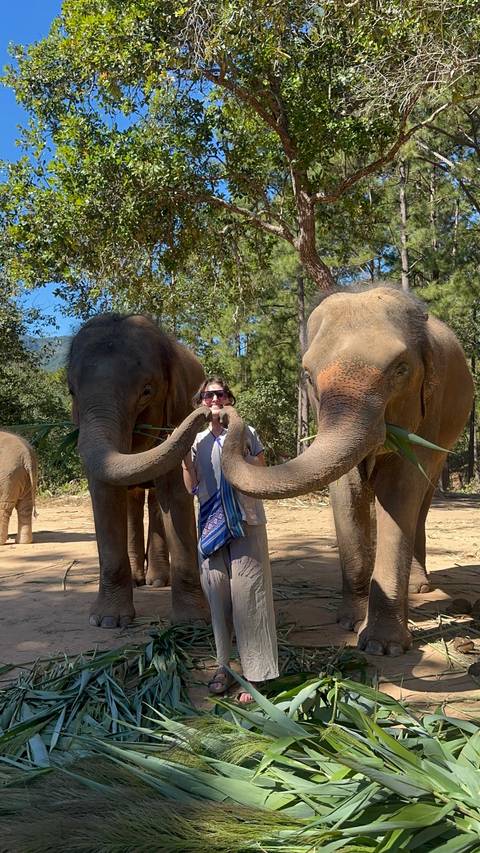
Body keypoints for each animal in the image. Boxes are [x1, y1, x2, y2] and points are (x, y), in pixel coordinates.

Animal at [68, 313, 210, 628]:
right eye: (71, 391)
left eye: (147, 391)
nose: (205, 413)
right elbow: (105, 492)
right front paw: (108, 621)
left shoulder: (175, 412)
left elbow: (175, 492)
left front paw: (192, 623)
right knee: (133, 498)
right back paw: (138, 579)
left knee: (156, 499)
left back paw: (157, 580)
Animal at [221, 285, 474, 656]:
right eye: (308, 375)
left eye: (401, 369)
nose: (226, 413)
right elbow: (346, 492)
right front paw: (351, 624)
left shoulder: (430, 410)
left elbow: (399, 493)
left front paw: (383, 646)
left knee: (423, 499)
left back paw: (419, 586)